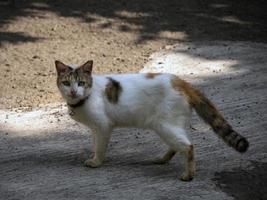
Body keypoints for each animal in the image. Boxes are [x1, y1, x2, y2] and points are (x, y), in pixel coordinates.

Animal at [55, 59, 250, 181]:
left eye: (81, 83)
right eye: (66, 83)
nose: (73, 91)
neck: (84, 98)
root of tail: (182, 82)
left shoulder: (103, 126)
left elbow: (100, 147)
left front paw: (96, 162)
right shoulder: (95, 129)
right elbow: (95, 144)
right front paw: (94, 156)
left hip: (165, 126)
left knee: (188, 147)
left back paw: (188, 176)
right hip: (169, 126)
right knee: (179, 145)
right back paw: (162, 159)